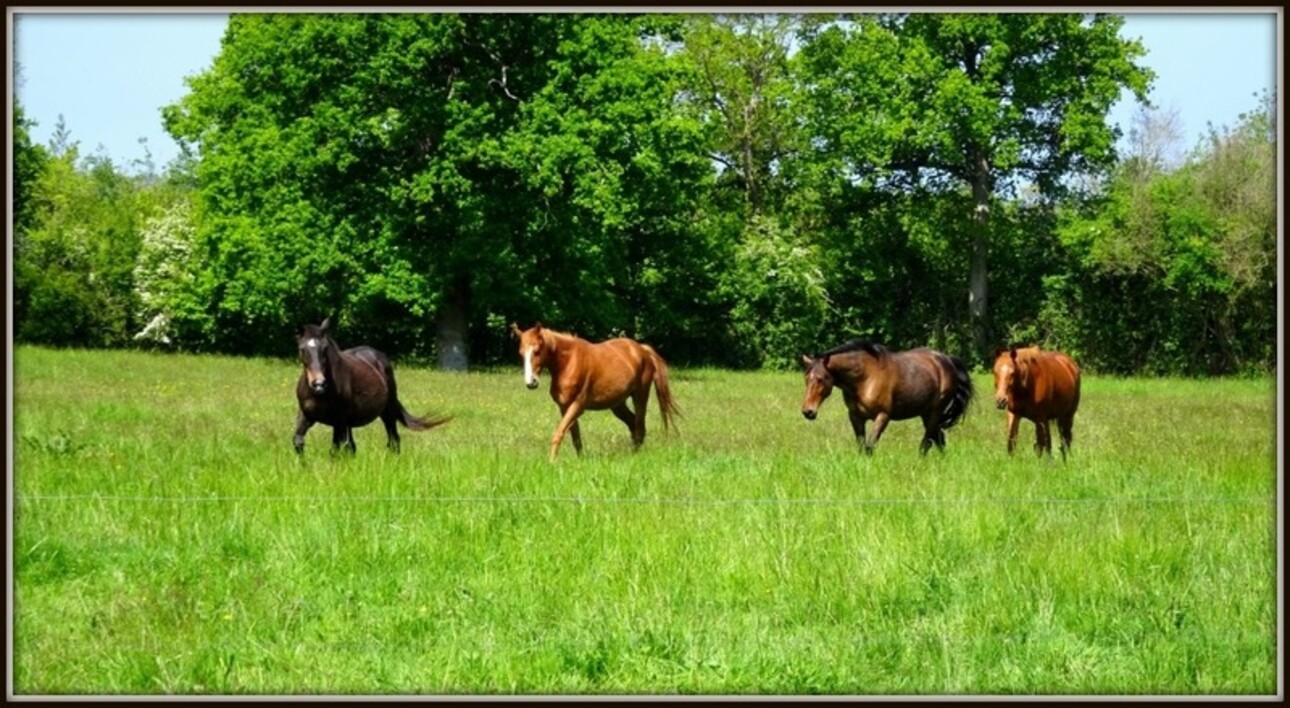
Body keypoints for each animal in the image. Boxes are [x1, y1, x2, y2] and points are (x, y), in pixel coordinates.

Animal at [295, 317, 451, 456]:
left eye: (325, 348)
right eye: (302, 349)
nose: (319, 384)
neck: (320, 394)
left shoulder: (338, 421)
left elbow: (334, 450)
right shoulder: (306, 415)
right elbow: (298, 442)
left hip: (387, 411)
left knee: (393, 440)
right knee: (352, 447)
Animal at [508, 321, 681, 464]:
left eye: (537, 351)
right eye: (521, 353)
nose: (531, 382)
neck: (568, 363)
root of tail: (642, 350)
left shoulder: (577, 406)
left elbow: (559, 433)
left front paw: (551, 463)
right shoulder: (565, 407)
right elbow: (575, 437)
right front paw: (580, 461)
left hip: (640, 395)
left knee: (639, 427)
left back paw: (635, 457)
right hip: (618, 405)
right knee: (634, 425)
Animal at [799, 340, 970, 456]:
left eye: (820, 379)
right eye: (806, 378)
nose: (808, 411)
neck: (865, 378)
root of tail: (946, 360)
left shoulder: (882, 416)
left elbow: (869, 446)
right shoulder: (855, 417)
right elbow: (861, 446)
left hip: (935, 411)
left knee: (928, 441)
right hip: (926, 413)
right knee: (938, 438)